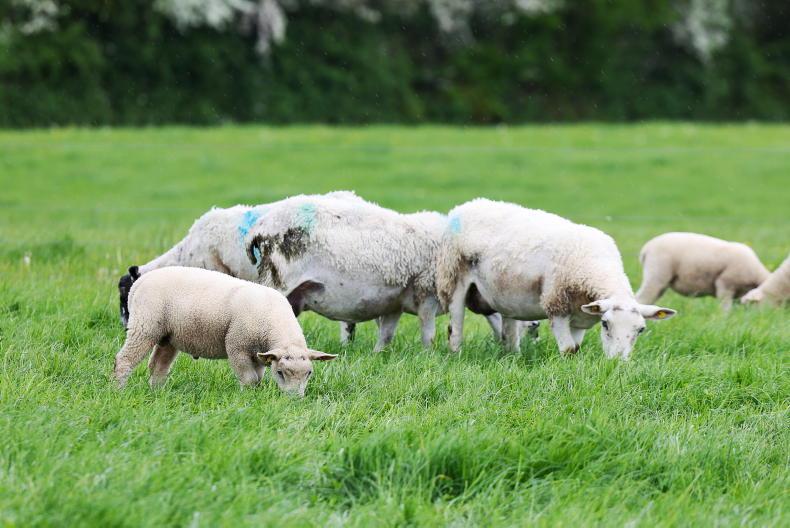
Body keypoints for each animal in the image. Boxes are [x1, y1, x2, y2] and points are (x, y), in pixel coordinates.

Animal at [114, 266, 336, 395]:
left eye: (308, 373)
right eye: (280, 373)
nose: (294, 399)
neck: (273, 322)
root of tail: (140, 282)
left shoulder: (258, 354)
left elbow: (258, 379)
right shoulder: (238, 346)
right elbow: (249, 379)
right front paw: (247, 398)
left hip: (169, 335)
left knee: (158, 366)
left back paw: (157, 393)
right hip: (145, 325)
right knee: (124, 359)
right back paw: (119, 390)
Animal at [437, 199, 676, 359]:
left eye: (641, 329)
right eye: (606, 324)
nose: (618, 362)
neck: (593, 267)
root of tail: (467, 205)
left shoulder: (581, 317)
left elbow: (576, 347)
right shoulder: (556, 304)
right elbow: (569, 349)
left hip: (505, 292)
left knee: (509, 331)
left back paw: (513, 357)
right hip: (453, 278)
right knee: (455, 326)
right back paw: (456, 354)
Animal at [635, 232, 770, 311]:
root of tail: (646, 248)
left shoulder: (738, 294)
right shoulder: (725, 284)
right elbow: (725, 308)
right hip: (656, 274)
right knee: (642, 298)